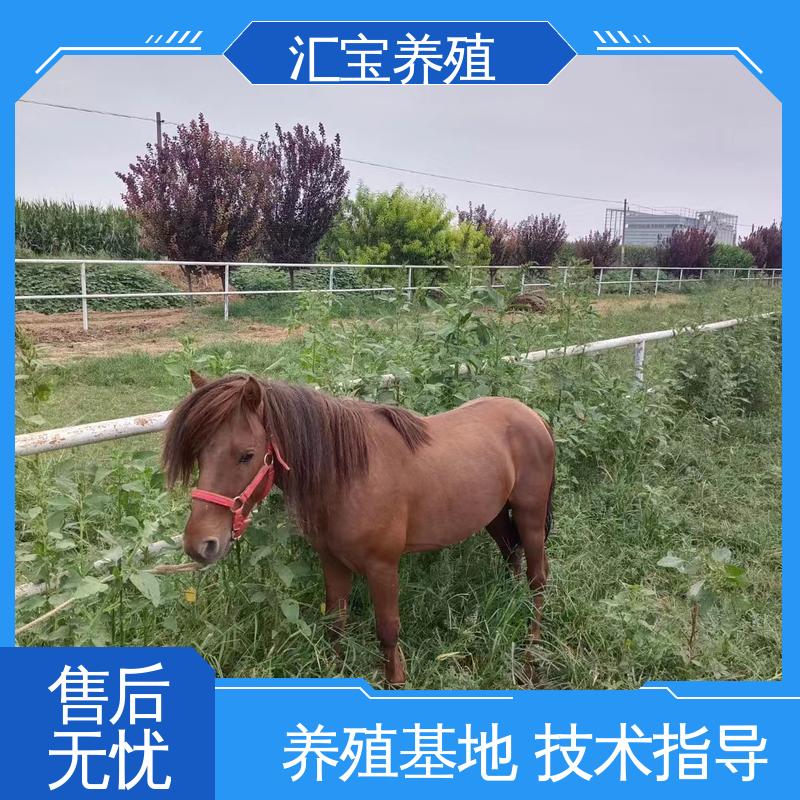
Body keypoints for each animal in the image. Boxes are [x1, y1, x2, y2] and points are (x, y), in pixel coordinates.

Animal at [163, 371, 556, 685]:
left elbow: (387, 630)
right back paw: (510, 605)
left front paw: (396, 681)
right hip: (493, 515)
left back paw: (531, 652)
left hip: (530, 515)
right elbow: (336, 623)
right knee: (512, 555)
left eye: (246, 455)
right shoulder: (332, 562)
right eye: (200, 455)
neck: (348, 476)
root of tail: (533, 417)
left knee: (538, 577)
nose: (200, 543)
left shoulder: (383, 567)